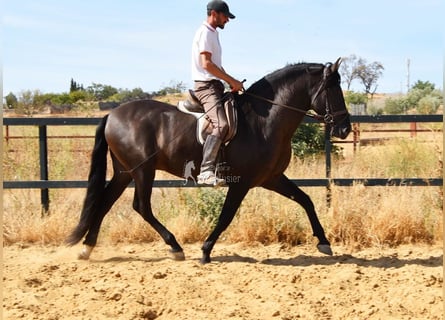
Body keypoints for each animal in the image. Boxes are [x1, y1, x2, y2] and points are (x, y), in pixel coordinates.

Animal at [67, 58, 350, 264]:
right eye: (332, 88)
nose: (345, 129)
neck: (265, 121)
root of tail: (112, 115)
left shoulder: (271, 178)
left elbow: (305, 199)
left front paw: (324, 242)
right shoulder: (241, 183)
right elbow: (226, 217)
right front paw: (205, 251)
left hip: (125, 171)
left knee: (105, 202)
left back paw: (86, 249)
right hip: (143, 171)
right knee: (141, 206)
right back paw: (175, 247)